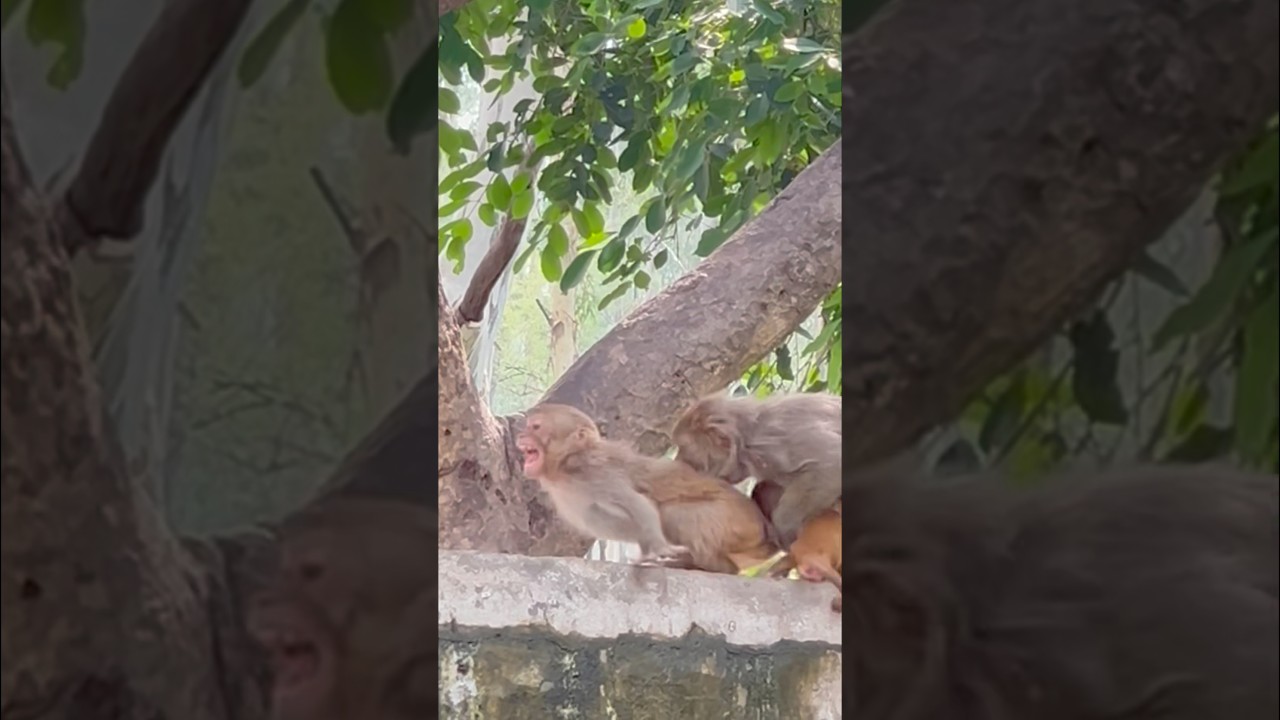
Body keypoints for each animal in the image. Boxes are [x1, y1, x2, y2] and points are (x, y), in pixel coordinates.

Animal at [518, 403, 777, 574]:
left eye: (536, 427)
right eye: (528, 426)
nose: (521, 435)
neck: (564, 467)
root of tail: (765, 530)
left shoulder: (595, 472)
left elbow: (638, 504)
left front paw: (660, 548)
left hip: (738, 524)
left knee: (674, 513)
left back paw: (714, 566)